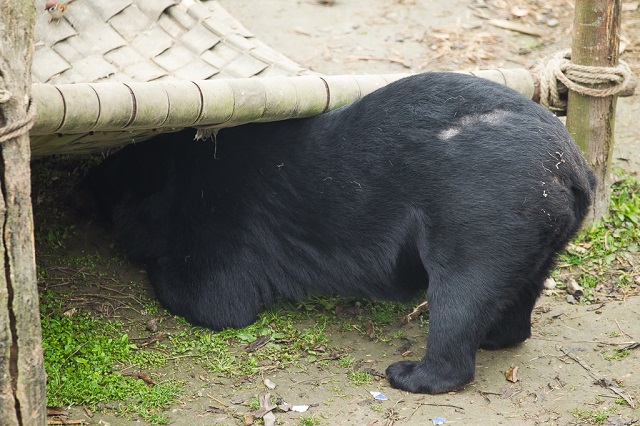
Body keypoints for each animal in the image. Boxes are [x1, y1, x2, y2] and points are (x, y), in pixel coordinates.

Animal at [74, 72, 596, 392]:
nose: (81, 189)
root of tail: (570, 168)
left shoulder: (223, 215)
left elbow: (217, 298)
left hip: (481, 215)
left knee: (463, 294)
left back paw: (412, 373)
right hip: (539, 229)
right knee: (523, 288)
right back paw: (496, 337)